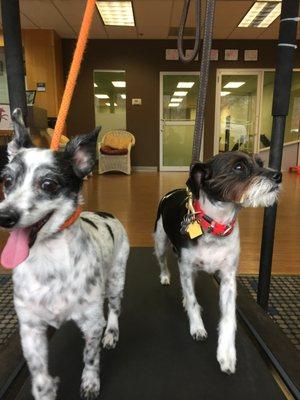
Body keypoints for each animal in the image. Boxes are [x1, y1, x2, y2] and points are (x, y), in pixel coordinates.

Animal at [0, 109, 129, 400]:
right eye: (7, 180)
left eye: (49, 184)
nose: (4, 216)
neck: (48, 263)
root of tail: (107, 214)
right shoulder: (31, 328)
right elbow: (38, 372)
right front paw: (44, 390)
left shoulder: (92, 323)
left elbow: (90, 357)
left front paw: (90, 382)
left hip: (116, 280)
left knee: (114, 311)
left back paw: (112, 334)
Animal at [155, 152, 282, 376]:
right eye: (239, 167)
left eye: (260, 163)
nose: (278, 175)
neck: (215, 226)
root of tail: (174, 192)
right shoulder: (185, 268)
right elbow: (193, 300)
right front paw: (197, 327)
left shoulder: (228, 278)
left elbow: (229, 317)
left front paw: (227, 353)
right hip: (161, 241)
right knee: (163, 261)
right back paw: (165, 277)